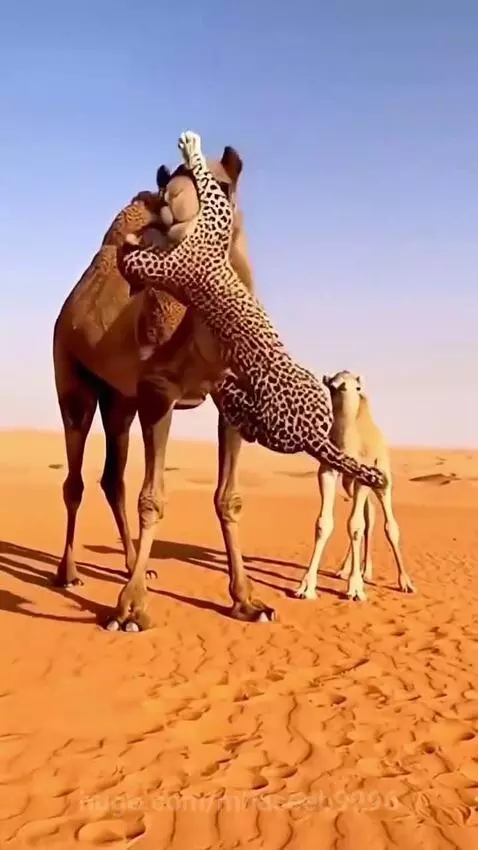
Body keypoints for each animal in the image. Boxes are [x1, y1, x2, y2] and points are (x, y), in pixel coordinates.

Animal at [53, 142, 276, 631]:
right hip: (72, 379)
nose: (172, 204)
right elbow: (152, 498)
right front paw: (131, 610)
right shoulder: (159, 392)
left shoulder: (231, 399)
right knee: (75, 478)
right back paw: (69, 573)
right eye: (167, 185)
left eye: (221, 186)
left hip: (119, 399)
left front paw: (248, 601)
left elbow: (228, 498)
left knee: (111, 478)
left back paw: (132, 564)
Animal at [294, 371, 416, 602]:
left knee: (388, 524)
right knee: (369, 517)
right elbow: (326, 523)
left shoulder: (364, 475)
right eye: (331, 386)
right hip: (351, 484)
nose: (345, 389)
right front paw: (306, 587)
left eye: (357, 387)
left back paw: (404, 582)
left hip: (382, 478)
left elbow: (356, 525)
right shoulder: (327, 471)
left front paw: (356, 589)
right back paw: (353, 570)